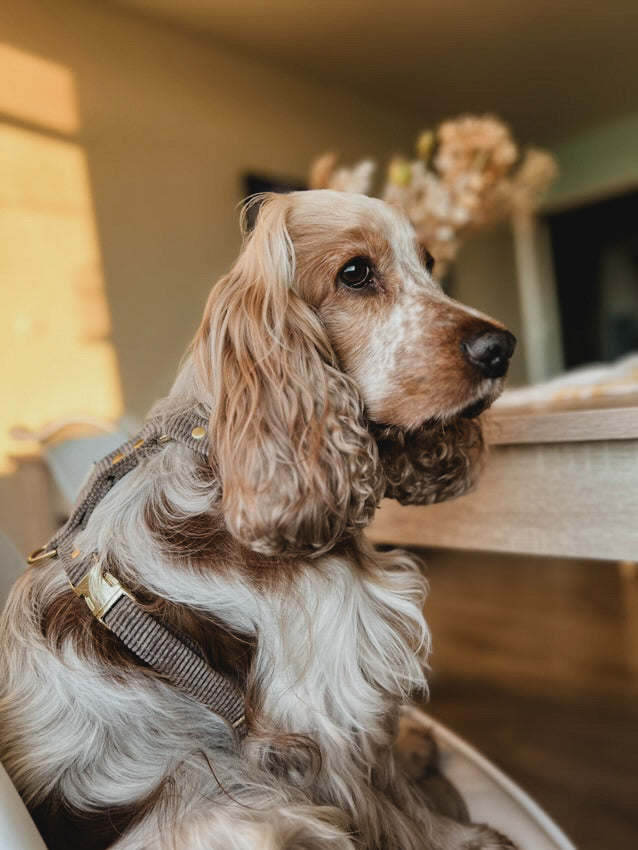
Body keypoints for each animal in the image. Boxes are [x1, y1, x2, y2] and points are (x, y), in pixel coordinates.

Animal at [0, 189, 516, 844]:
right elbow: (394, 801)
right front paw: (461, 837)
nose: (501, 348)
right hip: (244, 810)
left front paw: (417, 749)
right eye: (355, 273)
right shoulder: (328, 707)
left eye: (427, 262)